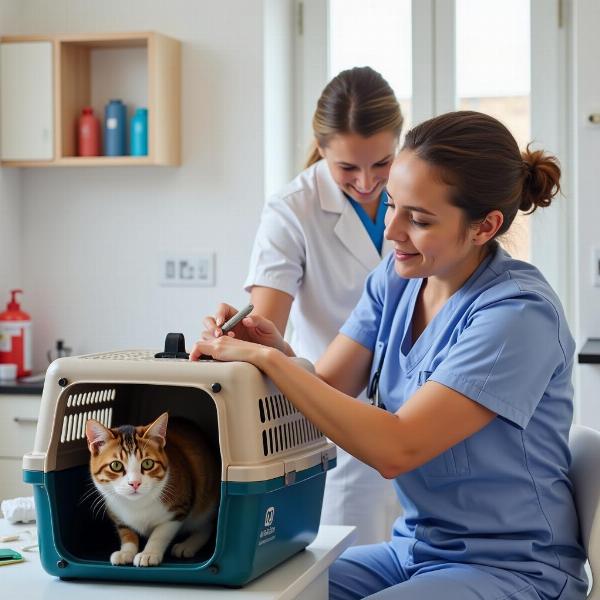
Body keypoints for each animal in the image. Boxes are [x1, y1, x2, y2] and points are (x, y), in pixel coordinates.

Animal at [85, 412, 221, 568]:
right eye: (116, 466)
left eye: (148, 463)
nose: (135, 483)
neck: (137, 504)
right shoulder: (116, 514)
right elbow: (126, 532)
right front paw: (126, 551)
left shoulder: (179, 509)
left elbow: (160, 533)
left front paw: (149, 553)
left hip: (206, 503)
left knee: (207, 526)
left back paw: (187, 545)